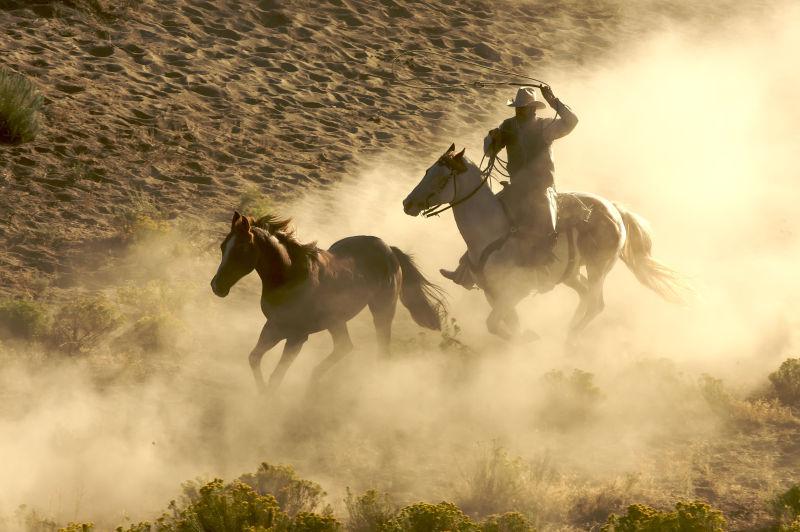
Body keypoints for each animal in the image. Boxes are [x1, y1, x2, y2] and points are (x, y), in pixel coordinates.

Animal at [209, 211, 444, 390]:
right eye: (222, 247)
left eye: (241, 249)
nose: (217, 286)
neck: (291, 276)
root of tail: (389, 250)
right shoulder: (274, 326)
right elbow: (254, 358)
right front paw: (262, 392)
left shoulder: (296, 336)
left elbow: (277, 375)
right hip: (336, 321)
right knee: (345, 347)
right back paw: (314, 380)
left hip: (382, 310)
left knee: (380, 349)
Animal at [404, 143, 684, 338]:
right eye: (427, 170)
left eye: (441, 179)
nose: (408, 203)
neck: (492, 234)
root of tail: (614, 210)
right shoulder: (493, 293)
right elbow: (507, 324)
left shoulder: (515, 292)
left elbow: (494, 324)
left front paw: (527, 340)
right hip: (571, 274)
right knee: (585, 297)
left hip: (598, 269)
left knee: (596, 304)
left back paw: (569, 338)